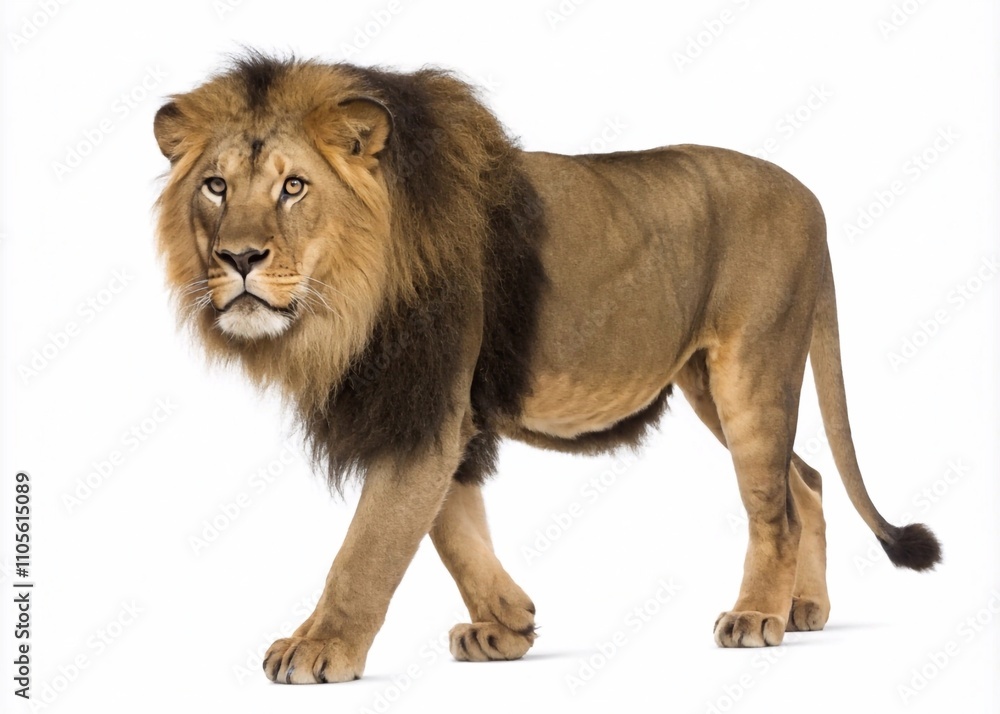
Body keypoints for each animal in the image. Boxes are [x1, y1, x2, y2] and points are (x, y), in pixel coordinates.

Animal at [153, 53, 941, 684]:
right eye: (216, 186)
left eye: (293, 187)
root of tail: (810, 197)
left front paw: (320, 648)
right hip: (706, 383)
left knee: (773, 507)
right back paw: (804, 608)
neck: (344, 301)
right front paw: (507, 624)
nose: (238, 258)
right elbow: (451, 526)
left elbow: (371, 545)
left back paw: (755, 617)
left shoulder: (429, 402)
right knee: (805, 481)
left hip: (752, 371)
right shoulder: (437, 409)